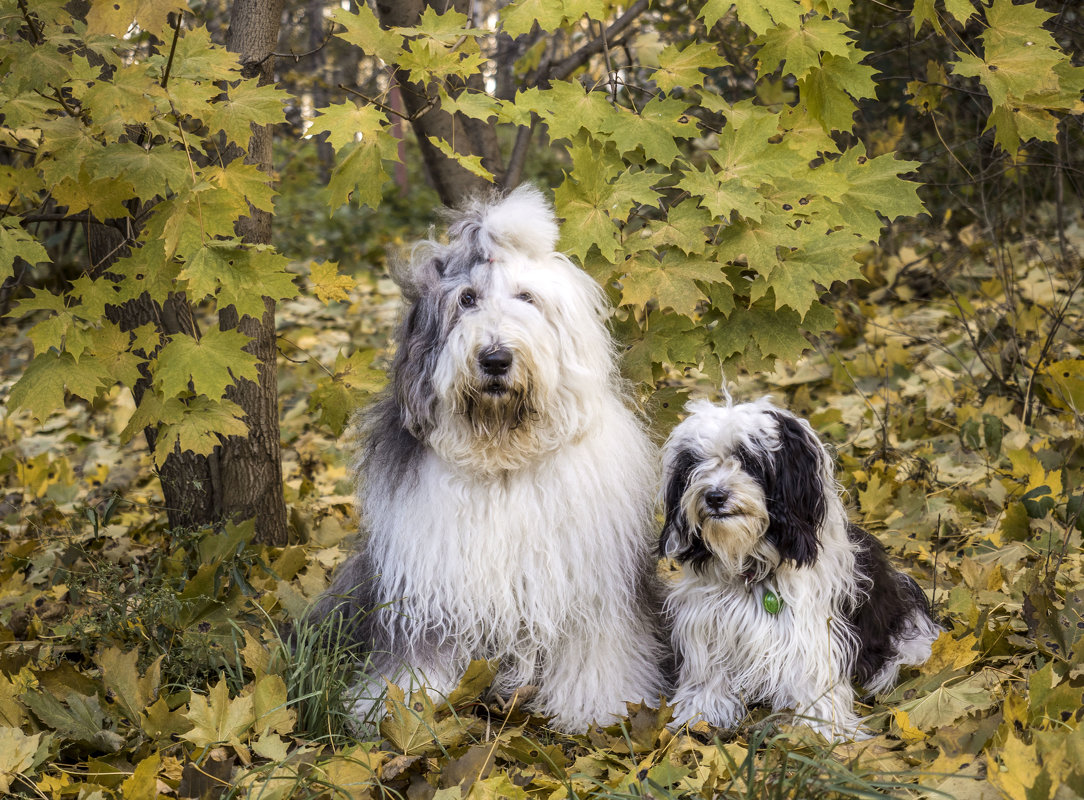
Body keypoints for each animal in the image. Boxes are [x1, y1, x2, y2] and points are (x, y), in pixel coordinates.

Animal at [310, 185, 663, 728]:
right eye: (467, 299)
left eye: (526, 298)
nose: (495, 358)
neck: (501, 461)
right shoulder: (429, 582)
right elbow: (420, 650)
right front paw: (403, 709)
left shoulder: (589, 585)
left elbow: (598, 648)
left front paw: (600, 707)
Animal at [659, 396, 940, 737]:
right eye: (695, 464)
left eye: (749, 460)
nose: (714, 496)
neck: (753, 565)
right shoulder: (709, 627)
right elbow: (708, 677)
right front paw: (699, 715)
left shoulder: (811, 633)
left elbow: (812, 681)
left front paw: (819, 732)